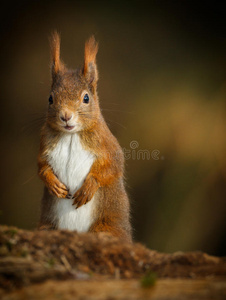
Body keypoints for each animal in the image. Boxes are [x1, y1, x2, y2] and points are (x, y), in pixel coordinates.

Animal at [37, 32, 132, 241]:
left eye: (86, 98)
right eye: (50, 98)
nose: (66, 116)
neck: (71, 135)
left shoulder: (107, 144)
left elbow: (113, 166)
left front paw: (89, 186)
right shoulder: (44, 144)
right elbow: (41, 166)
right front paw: (53, 183)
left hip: (105, 226)